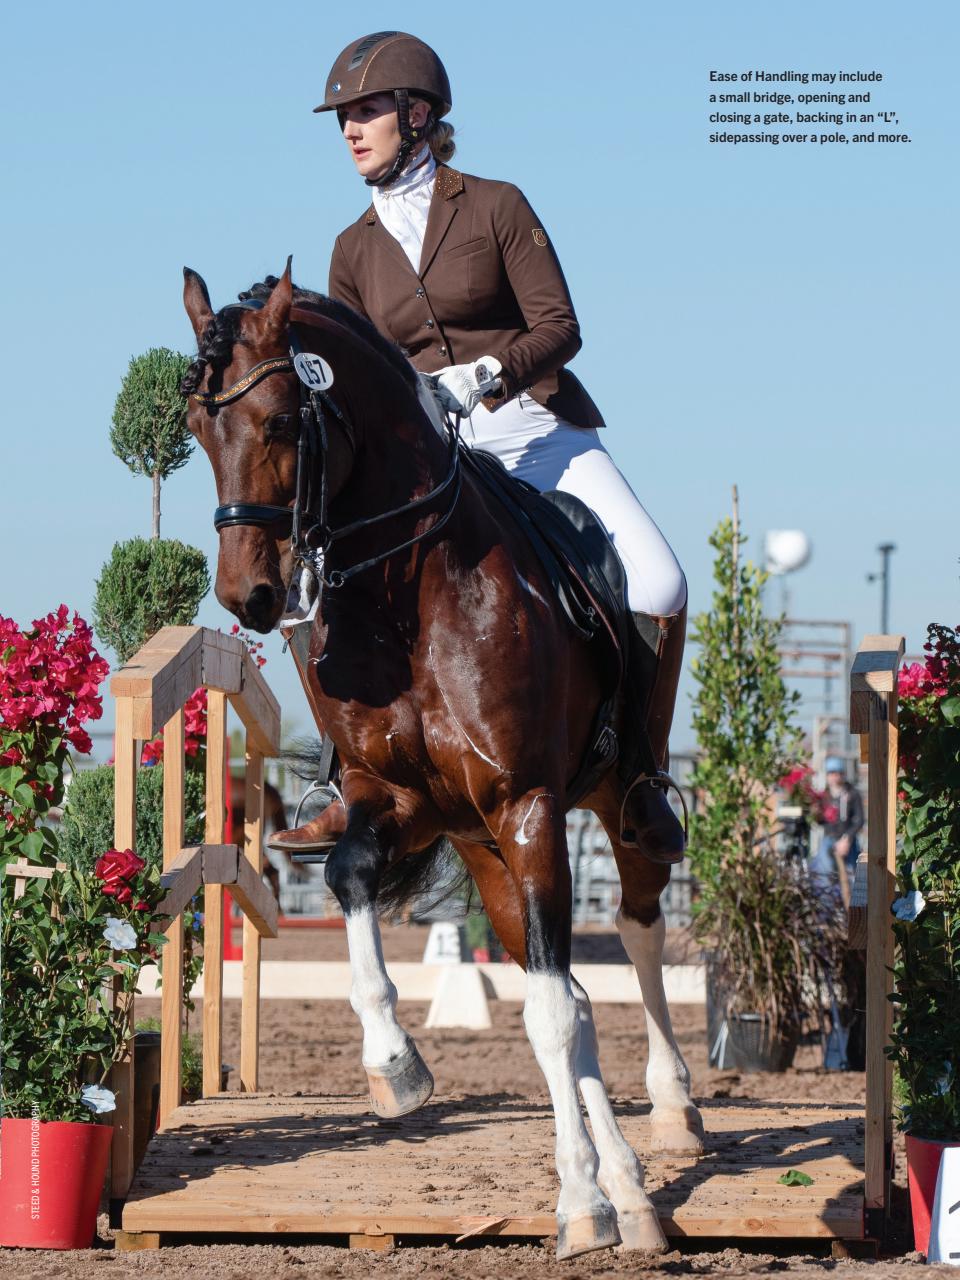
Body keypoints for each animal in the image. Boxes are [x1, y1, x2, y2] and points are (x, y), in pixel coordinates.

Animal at [180, 261, 703, 1260]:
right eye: (195, 428)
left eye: (280, 421)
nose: (248, 596)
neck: (411, 594)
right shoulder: (397, 801)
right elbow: (347, 874)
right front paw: (395, 1066)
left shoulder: (527, 802)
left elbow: (551, 1010)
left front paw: (578, 1210)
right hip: (483, 849)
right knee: (568, 988)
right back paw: (626, 1186)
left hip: (608, 810)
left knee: (637, 932)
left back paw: (670, 1115)